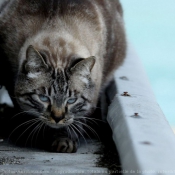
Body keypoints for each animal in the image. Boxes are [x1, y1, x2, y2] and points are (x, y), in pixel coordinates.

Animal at [0, 0, 126, 152]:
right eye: (43, 98)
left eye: (71, 100)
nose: (57, 118)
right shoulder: (8, 73)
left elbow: (74, 120)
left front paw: (63, 140)